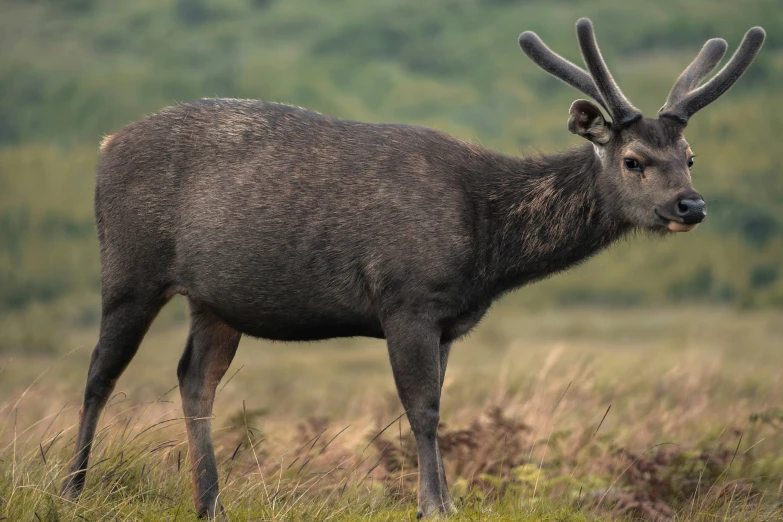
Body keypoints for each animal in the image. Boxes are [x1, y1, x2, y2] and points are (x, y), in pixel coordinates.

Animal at [62, 18, 764, 516]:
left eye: (690, 156)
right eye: (634, 159)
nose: (692, 205)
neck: (487, 245)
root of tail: (104, 144)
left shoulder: (448, 320)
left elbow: (436, 408)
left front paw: (441, 500)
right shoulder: (405, 299)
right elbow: (422, 410)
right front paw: (435, 507)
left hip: (216, 300)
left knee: (194, 380)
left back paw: (211, 504)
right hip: (128, 266)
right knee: (100, 373)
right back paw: (72, 490)